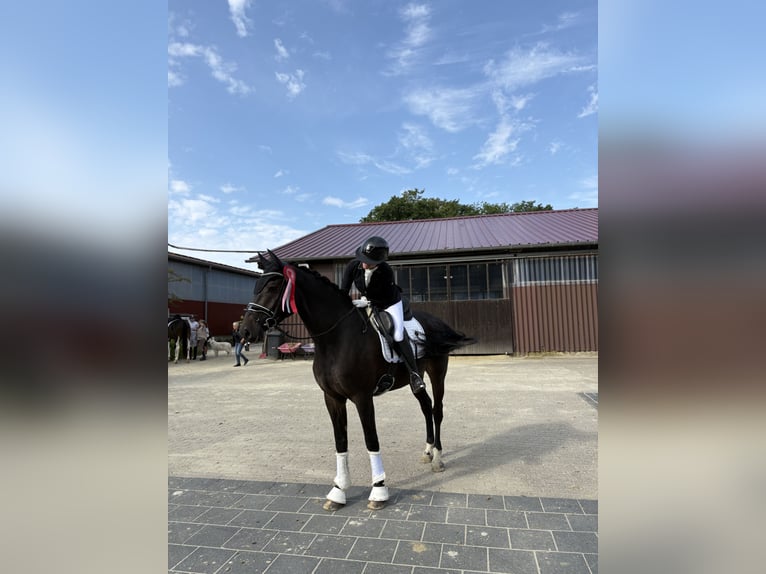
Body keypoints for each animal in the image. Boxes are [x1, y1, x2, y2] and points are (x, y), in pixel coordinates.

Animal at [239, 250, 476, 511]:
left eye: (272, 286)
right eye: (257, 285)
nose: (245, 331)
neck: (336, 338)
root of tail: (437, 322)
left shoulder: (362, 398)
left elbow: (371, 440)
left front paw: (379, 491)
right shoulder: (332, 398)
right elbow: (340, 441)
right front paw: (338, 492)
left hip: (437, 373)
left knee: (437, 410)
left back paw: (438, 459)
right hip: (417, 379)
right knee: (425, 406)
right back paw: (427, 451)